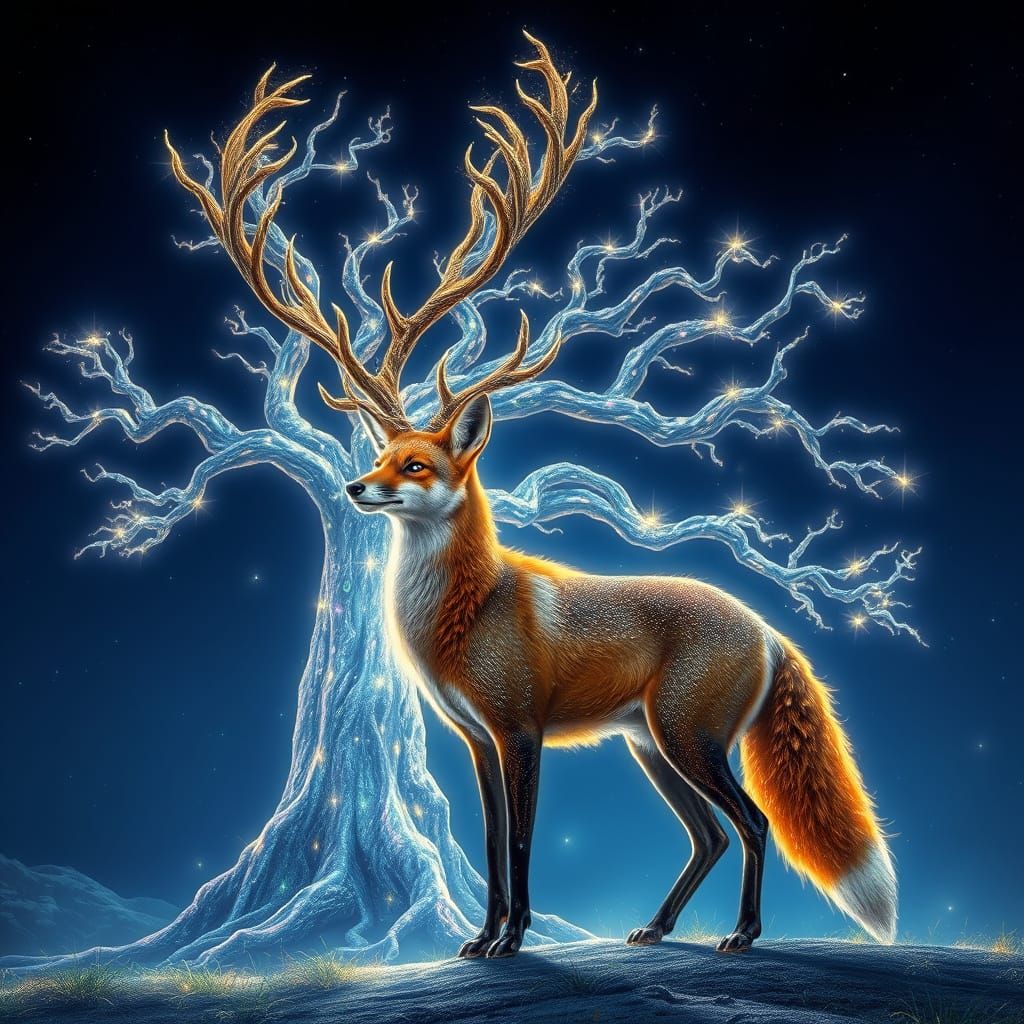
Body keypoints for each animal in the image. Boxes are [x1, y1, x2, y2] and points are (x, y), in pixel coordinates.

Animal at [344, 393, 898, 959]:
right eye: (379, 458)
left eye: (414, 467)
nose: (354, 487)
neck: (469, 605)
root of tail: (766, 629)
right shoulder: (479, 741)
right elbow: (493, 843)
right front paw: (482, 937)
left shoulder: (520, 735)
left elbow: (520, 840)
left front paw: (513, 937)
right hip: (654, 750)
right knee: (711, 837)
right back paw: (655, 928)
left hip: (687, 743)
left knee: (754, 823)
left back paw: (743, 932)